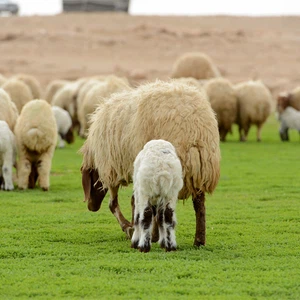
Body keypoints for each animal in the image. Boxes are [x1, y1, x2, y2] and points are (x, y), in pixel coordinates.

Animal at [79, 79, 220, 246]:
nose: (91, 207)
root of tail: (194, 132)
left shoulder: (110, 168)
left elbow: (115, 204)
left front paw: (129, 228)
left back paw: (153, 236)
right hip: (199, 172)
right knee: (199, 205)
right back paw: (198, 240)